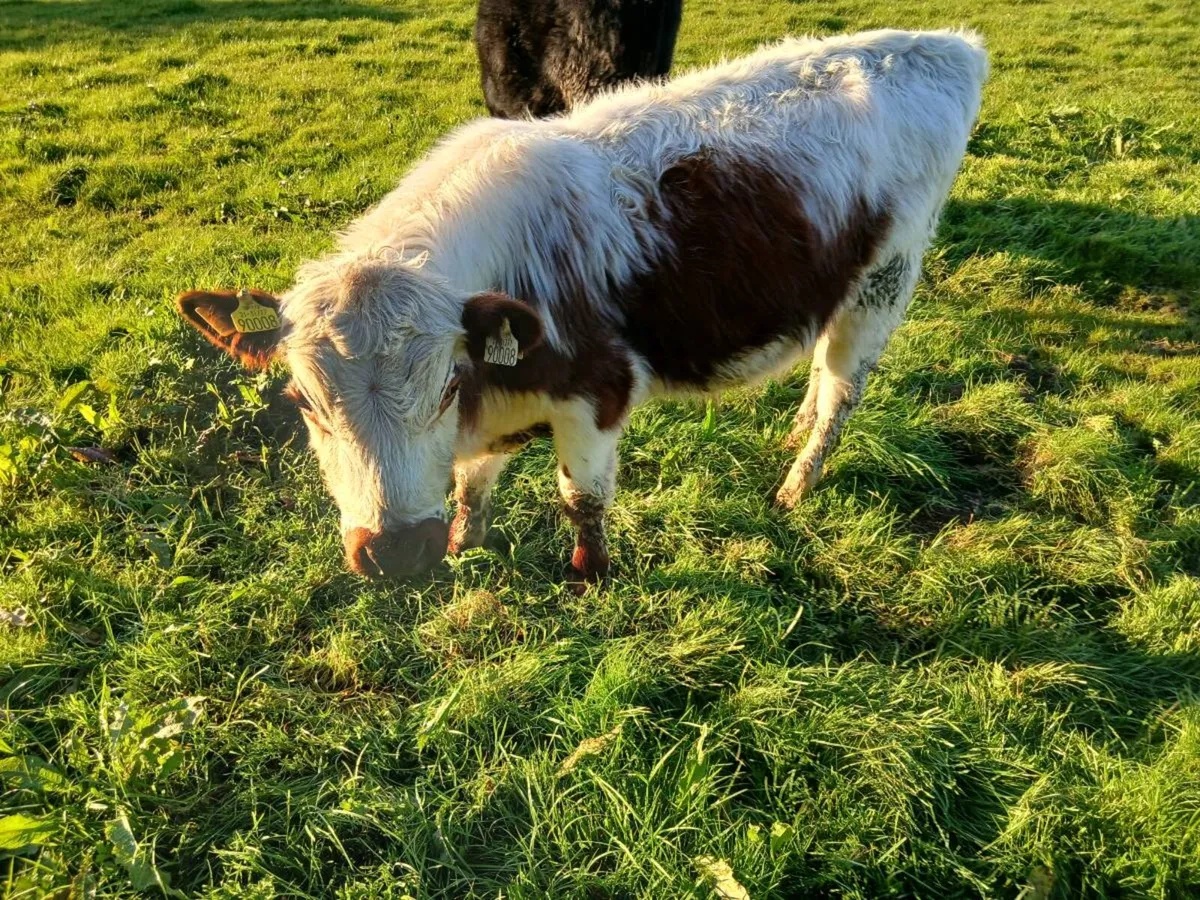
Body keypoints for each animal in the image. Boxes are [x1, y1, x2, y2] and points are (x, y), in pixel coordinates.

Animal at [177, 29, 989, 583]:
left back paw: (794, 485)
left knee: (841, 395)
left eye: (444, 385)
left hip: (883, 287)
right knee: (819, 378)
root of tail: (938, 45)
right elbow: (473, 487)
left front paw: (588, 577)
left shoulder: (596, 396)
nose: (396, 550)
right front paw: (463, 546)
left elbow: (583, 499)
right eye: (305, 403)